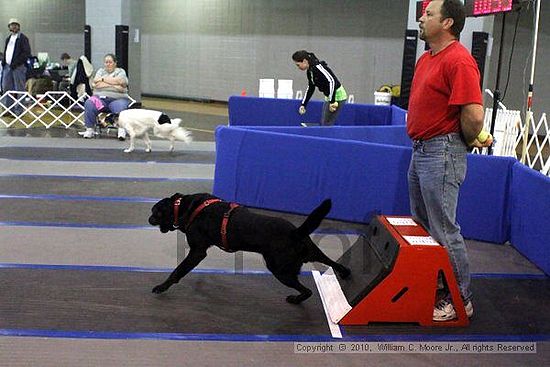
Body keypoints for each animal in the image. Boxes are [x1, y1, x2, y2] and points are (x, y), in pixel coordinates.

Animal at [149, 194, 352, 304]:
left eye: (155, 213)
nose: (148, 219)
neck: (183, 207)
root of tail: (296, 232)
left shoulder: (197, 251)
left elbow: (178, 271)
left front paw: (161, 287)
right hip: (310, 251)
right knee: (332, 263)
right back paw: (345, 273)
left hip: (280, 270)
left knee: (307, 291)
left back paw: (295, 300)